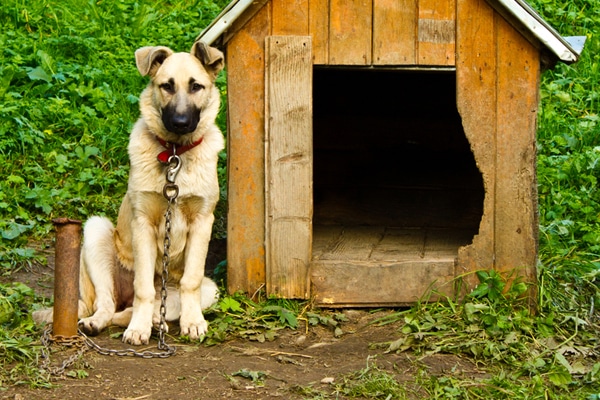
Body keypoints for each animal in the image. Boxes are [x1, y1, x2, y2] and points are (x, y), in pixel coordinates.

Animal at [33, 41, 225, 346]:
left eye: (196, 86)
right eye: (167, 86)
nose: (180, 122)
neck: (175, 154)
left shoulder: (202, 222)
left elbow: (190, 281)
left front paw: (193, 322)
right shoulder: (142, 223)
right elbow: (144, 287)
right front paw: (138, 329)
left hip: (210, 290)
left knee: (143, 306)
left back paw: (158, 322)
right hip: (96, 232)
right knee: (109, 305)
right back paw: (103, 322)